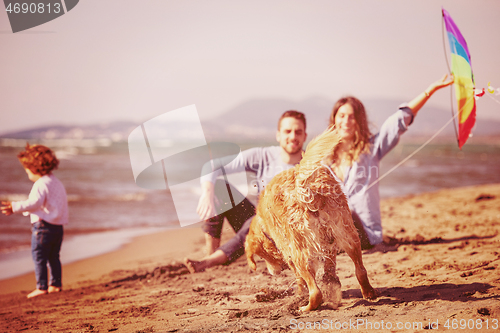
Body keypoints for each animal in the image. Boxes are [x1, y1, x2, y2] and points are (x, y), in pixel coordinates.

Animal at [244, 126, 376, 312]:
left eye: (261, 257)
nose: (273, 272)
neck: (263, 223)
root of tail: (302, 184)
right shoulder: (328, 243)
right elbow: (329, 269)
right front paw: (332, 285)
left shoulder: (288, 252)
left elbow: (300, 280)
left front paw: (301, 293)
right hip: (347, 234)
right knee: (361, 270)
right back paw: (368, 292)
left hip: (300, 252)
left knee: (315, 291)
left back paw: (306, 306)